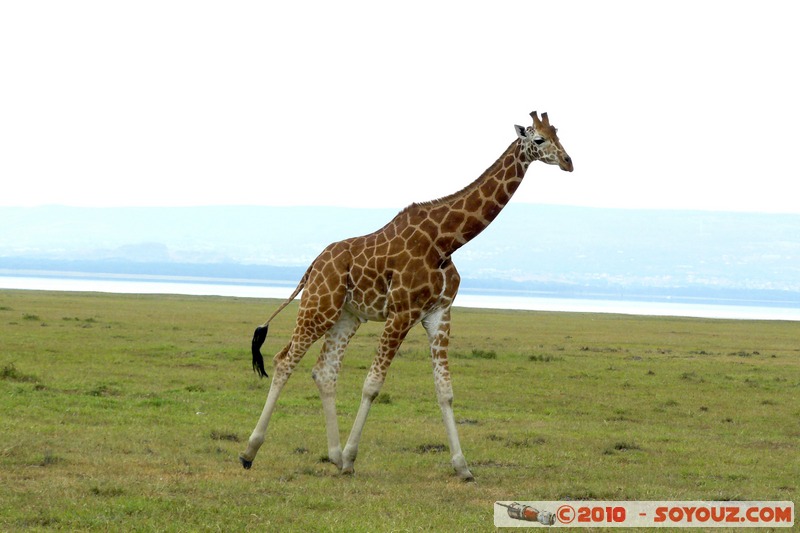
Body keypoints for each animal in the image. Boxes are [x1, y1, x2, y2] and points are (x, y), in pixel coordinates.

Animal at [240, 111, 573, 481]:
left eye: (559, 134)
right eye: (539, 139)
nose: (568, 162)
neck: (445, 242)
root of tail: (312, 266)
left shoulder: (439, 313)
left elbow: (445, 390)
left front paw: (463, 467)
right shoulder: (402, 311)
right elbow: (372, 384)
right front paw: (353, 458)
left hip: (347, 315)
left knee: (324, 371)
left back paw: (333, 455)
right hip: (319, 306)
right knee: (285, 360)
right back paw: (251, 452)